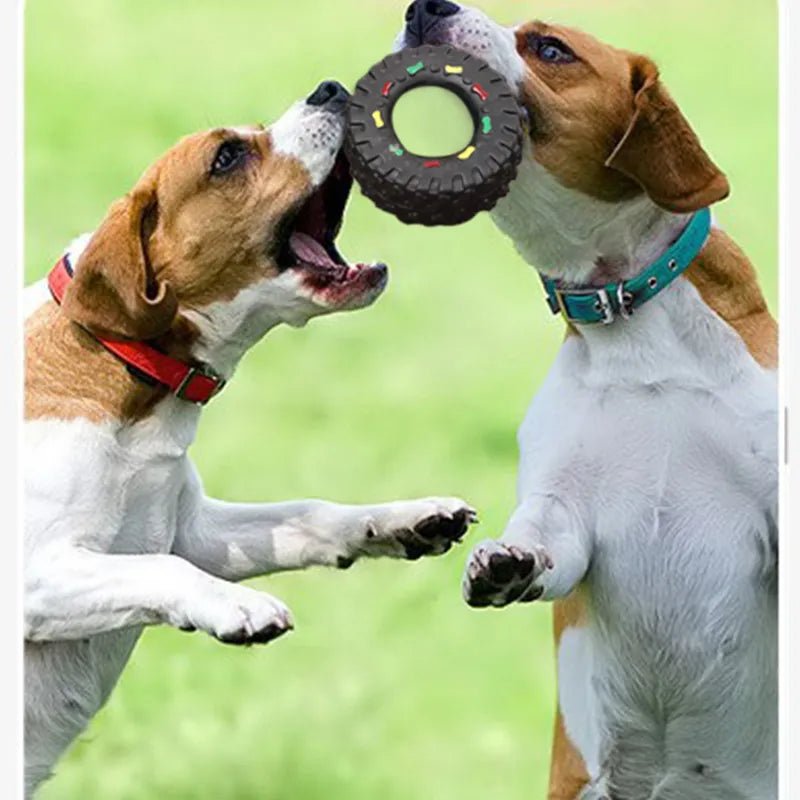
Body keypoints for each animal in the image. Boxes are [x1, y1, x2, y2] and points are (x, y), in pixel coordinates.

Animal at [23, 81, 476, 792]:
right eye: (228, 157)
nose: (332, 87)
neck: (127, 371)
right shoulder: (37, 572)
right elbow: (164, 568)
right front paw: (236, 607)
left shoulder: (196, 530)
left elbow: (309, 514)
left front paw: (406, 519)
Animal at [396, 1, 780, 800]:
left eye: (550, 48)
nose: (424, 7)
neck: (633, 325)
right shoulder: (568, 515)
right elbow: (548, 543)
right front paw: (502, 562)